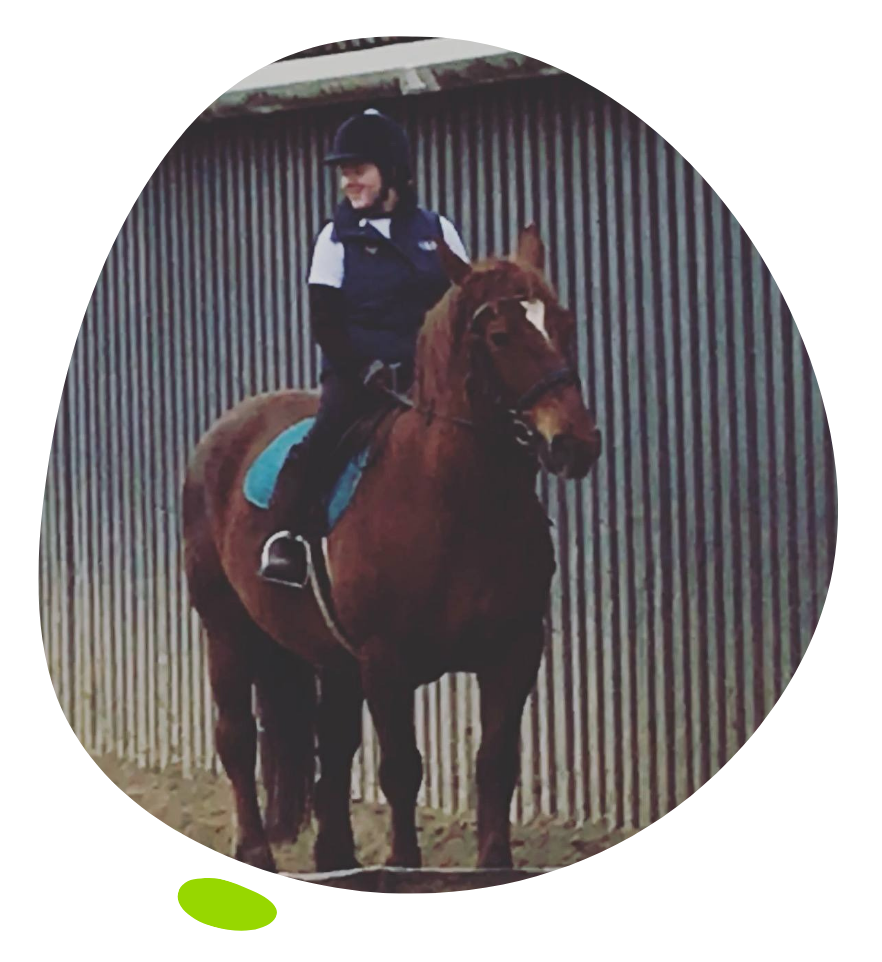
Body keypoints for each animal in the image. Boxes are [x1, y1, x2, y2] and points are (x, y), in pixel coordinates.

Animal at [182, 225, 602, 874]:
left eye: (563, 322)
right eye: (500, 335)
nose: (575, 444)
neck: (459, 506)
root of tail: (225, 429)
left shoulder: (514, 649)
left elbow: (495, 765)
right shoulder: (387, 660)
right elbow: (402, 770)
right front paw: (405, 867)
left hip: (331, 656)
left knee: (332, 747)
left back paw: (336, 855)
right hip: (227, 628)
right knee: (237, 739)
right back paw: (257, 848)